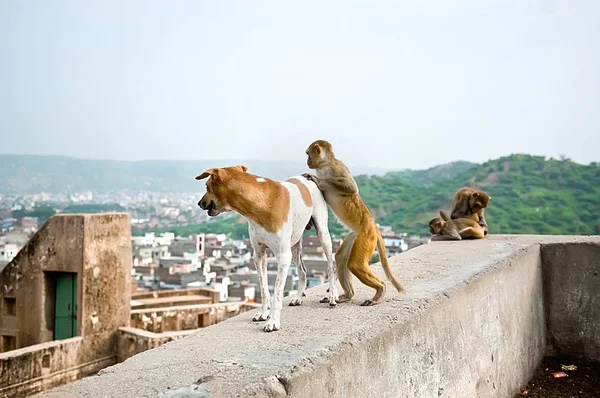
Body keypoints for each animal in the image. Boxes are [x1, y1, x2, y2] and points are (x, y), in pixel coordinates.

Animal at [196, 165, 338, 332]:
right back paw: (298, 297)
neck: (262, 202)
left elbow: (277, 293)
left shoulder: (282, 256)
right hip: (294, 243)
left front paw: (273, 321)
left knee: (331, 265)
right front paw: (264, 313)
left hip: (322, 233)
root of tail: (306, 177)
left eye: (207, 186)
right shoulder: (259, 254)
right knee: (302, 270)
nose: (199, 203)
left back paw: (333, 295)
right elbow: (264, 289)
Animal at [302, 138, 406, 306]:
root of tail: (374, 226)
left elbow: (351, 187)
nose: (307, 161)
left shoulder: (337, 168)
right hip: (354, 236)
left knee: (355, 264)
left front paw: (318, 180)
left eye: (308, 154)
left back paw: (380, 290)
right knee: (340, 258)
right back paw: (348, 295)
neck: (325, 164)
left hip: (366, 236)